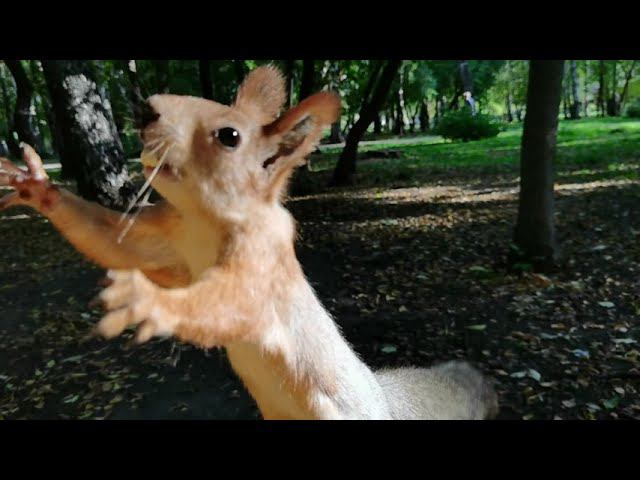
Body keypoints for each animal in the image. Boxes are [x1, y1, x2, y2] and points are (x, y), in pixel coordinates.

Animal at [0, 65, 498, 420]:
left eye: (229, 136)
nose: (145, 110)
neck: (209, 222)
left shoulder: (265, 262)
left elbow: (229, 303)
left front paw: (145, 301)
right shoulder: (170, 242)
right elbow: (119, 245)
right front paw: (34, 184)